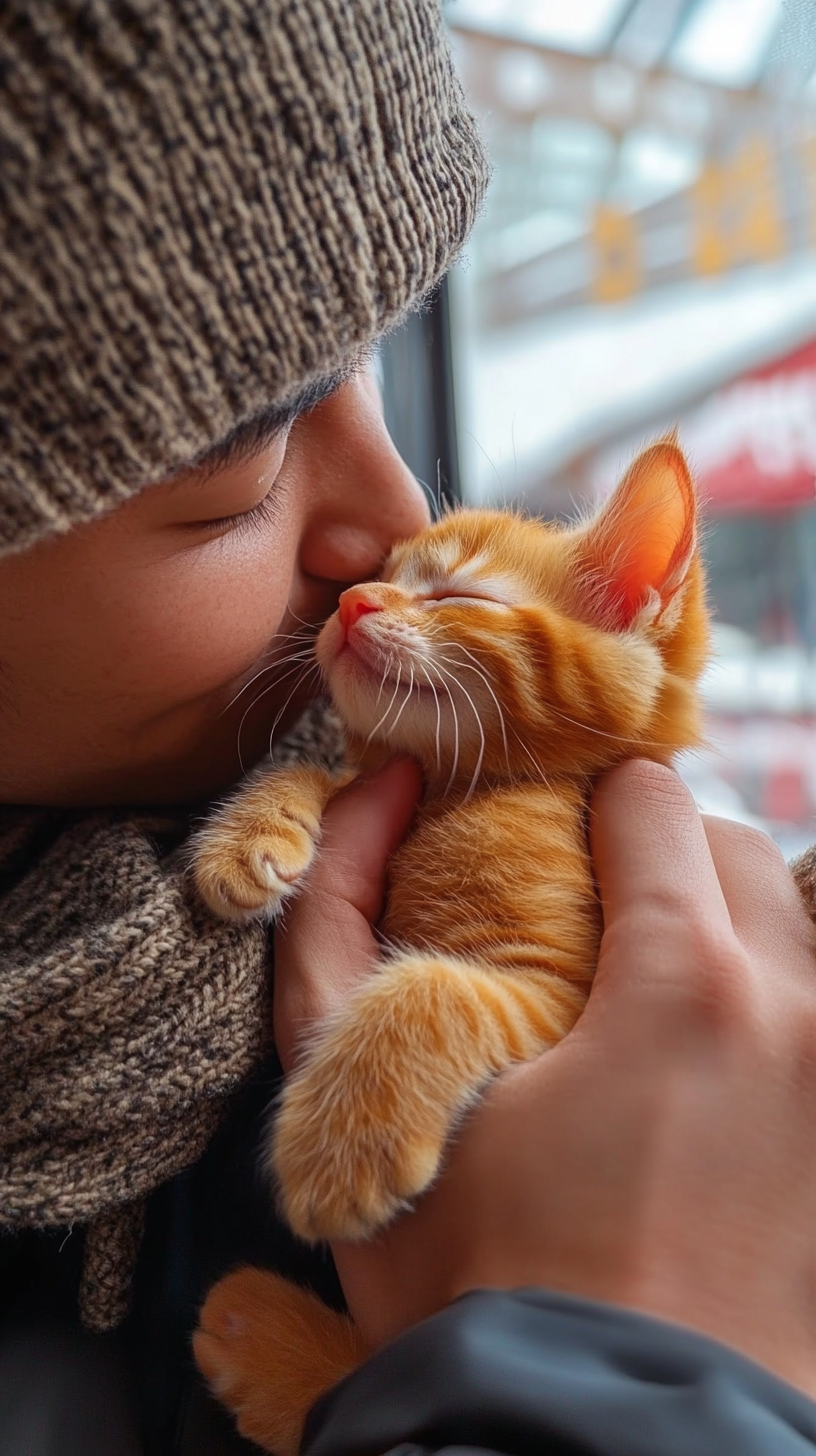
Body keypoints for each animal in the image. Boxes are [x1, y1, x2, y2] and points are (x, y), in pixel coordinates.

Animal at [189, 436, 708, 1450]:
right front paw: (250, 835)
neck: (453, 789)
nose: (351, 601)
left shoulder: (558, 996)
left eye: (462, 595)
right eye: (383, 579)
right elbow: (333, 772)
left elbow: (427, 984)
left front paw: (338, 1146)